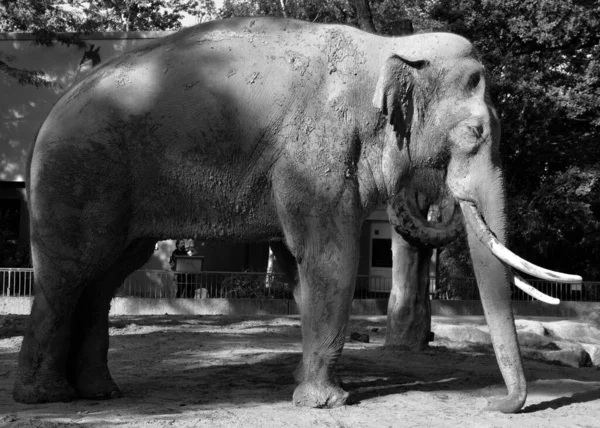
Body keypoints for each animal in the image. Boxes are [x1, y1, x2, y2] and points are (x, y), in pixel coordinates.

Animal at [14, 15, 580, 412]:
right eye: (476, 134)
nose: (494, 404)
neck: (386, 47)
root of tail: (49, 115)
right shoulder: (317, 152)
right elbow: (331, 258)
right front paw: (327, 402)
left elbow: (297, 265)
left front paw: (310, 384)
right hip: (78, 177)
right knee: (69, 276)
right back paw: (45, 398)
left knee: (105, 278)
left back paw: (99, 394)